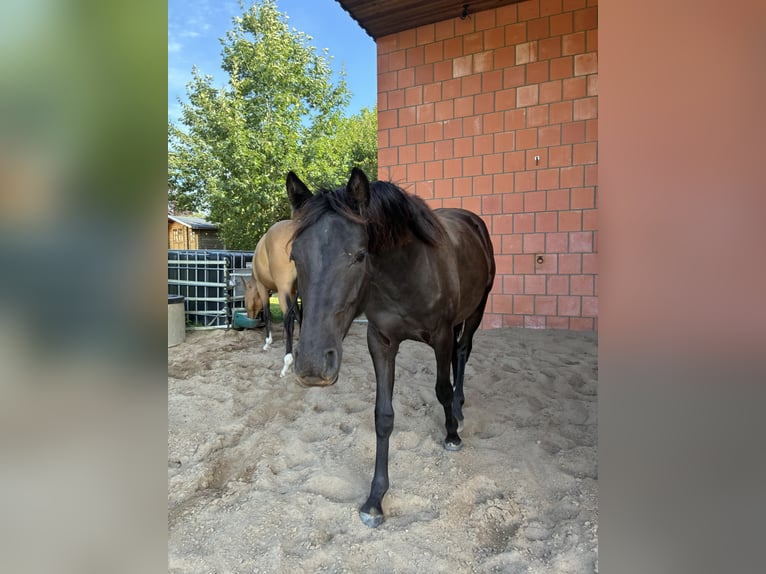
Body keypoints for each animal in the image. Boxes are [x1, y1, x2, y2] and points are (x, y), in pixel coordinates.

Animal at [241, 219, 300, 378]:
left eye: (245, 300)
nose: (250, 317)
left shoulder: (263, 287)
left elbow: (267, 313)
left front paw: (268, 342)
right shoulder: (293, 291)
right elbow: (300, 315)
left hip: (282, 290)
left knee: (288, 320)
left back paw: (287, 363)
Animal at [286, 168, 496, 527]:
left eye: (359, 255)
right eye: (294, 256)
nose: (312, 364)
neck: (406, 274)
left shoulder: (440, 335)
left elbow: (441, 387)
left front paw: (451, 434)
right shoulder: (381, 342)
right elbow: (383, 416)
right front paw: (375, 500)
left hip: (476, 310)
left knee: (463, 353)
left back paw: (458, 410)